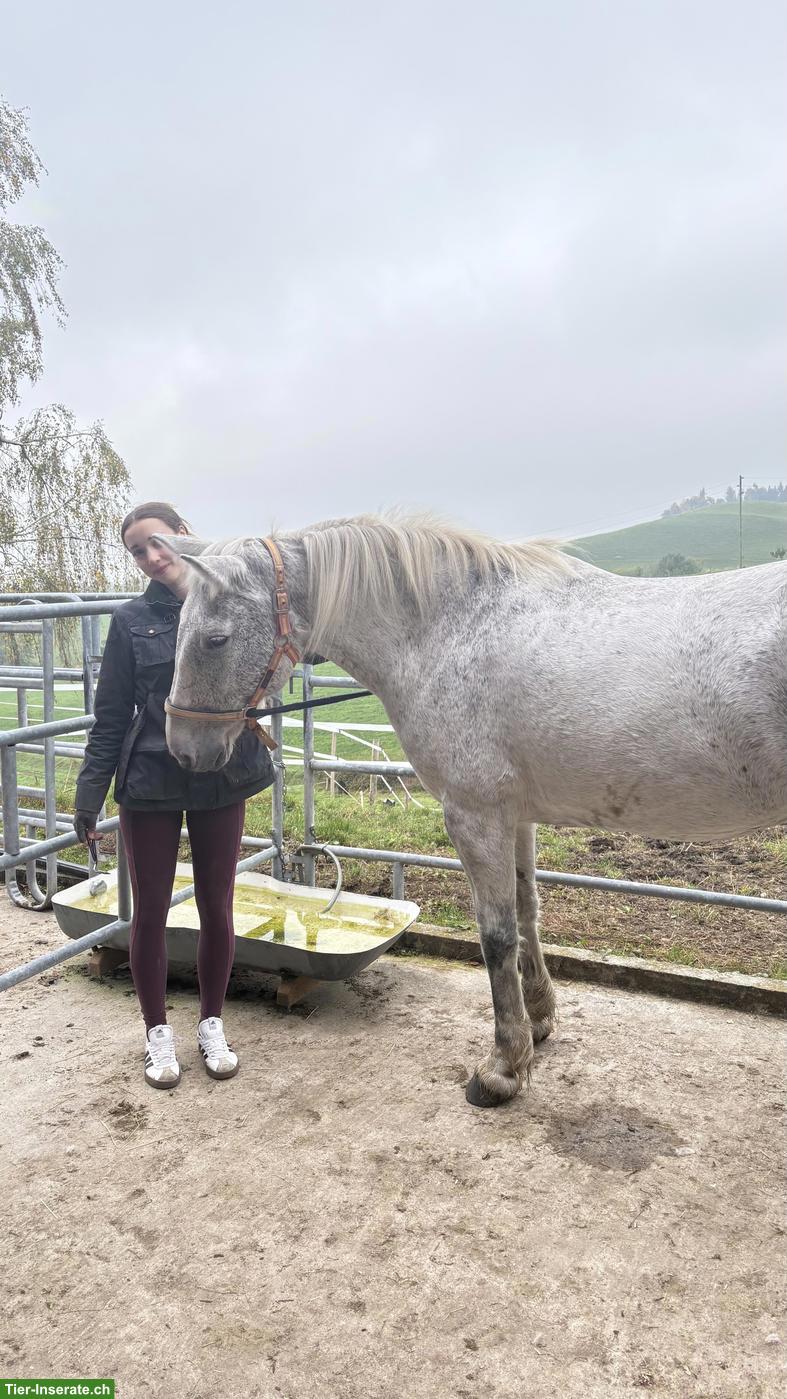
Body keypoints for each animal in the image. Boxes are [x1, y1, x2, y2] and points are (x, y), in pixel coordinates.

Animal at [157, 515, 787, 1108]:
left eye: (215, 639)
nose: (183, 750)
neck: (450, 631)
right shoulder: (516, 816)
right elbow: (528, 913)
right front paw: (539, 1021)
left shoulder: (474, 815)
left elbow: (497, 935)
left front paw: (503, 1068)